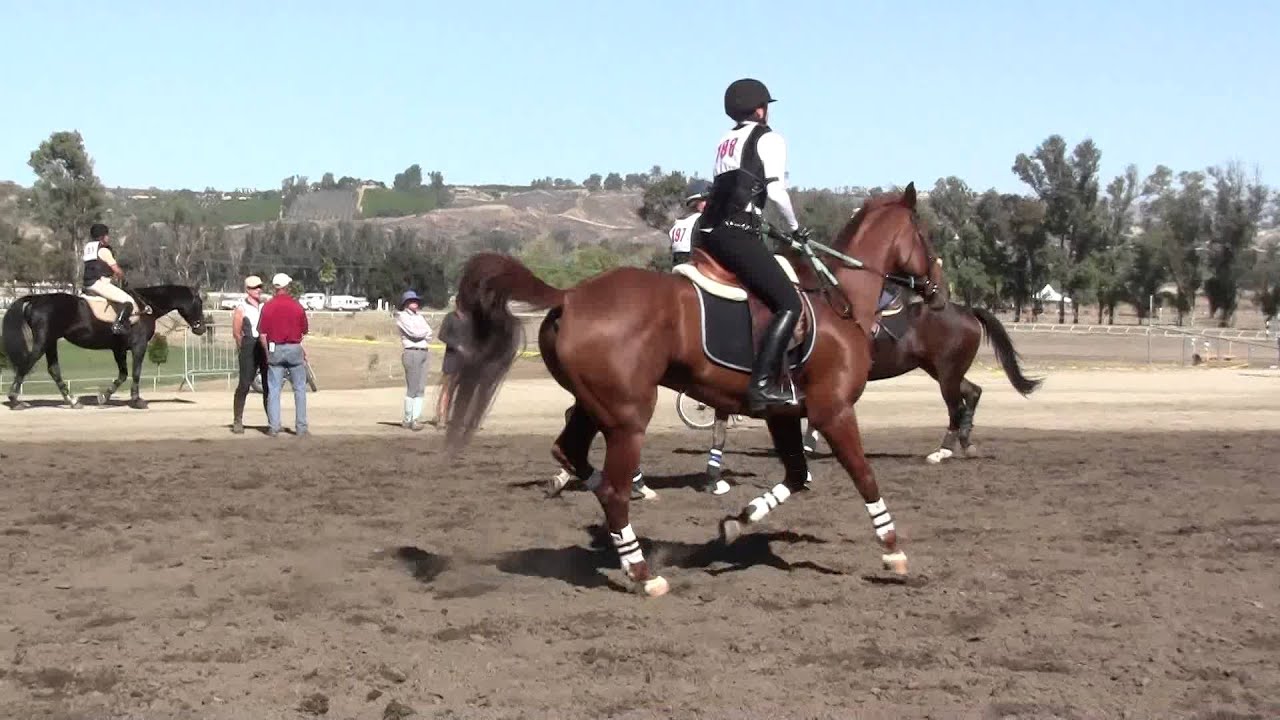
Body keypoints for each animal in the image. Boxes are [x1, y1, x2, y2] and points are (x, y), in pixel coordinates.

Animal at [3, 284, 207, 410]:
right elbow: (135, 373)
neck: (146, 307)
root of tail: (36, 299)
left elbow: (123, 374)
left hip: (51, 342)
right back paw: (15, 400)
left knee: (53, 370)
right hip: (43, 341)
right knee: (26, 364)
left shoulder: (118, 349)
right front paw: (137, 400)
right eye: (199, 303)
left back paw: (73, 401)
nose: (202, 328)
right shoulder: (139, 346)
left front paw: (104, 397)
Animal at [445, 184, 947, 597]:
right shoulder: (833, 411)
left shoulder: (784, 413)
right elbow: (864, 477)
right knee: (612, 489)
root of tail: (570, 295)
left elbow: (796, 477)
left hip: (596, 406)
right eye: (926, 236)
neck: (837, 298)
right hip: (629, 419)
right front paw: (892, 549)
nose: (938, 292)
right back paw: (642, 571)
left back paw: (617, 536)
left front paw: (736, 523)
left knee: (572, 455)